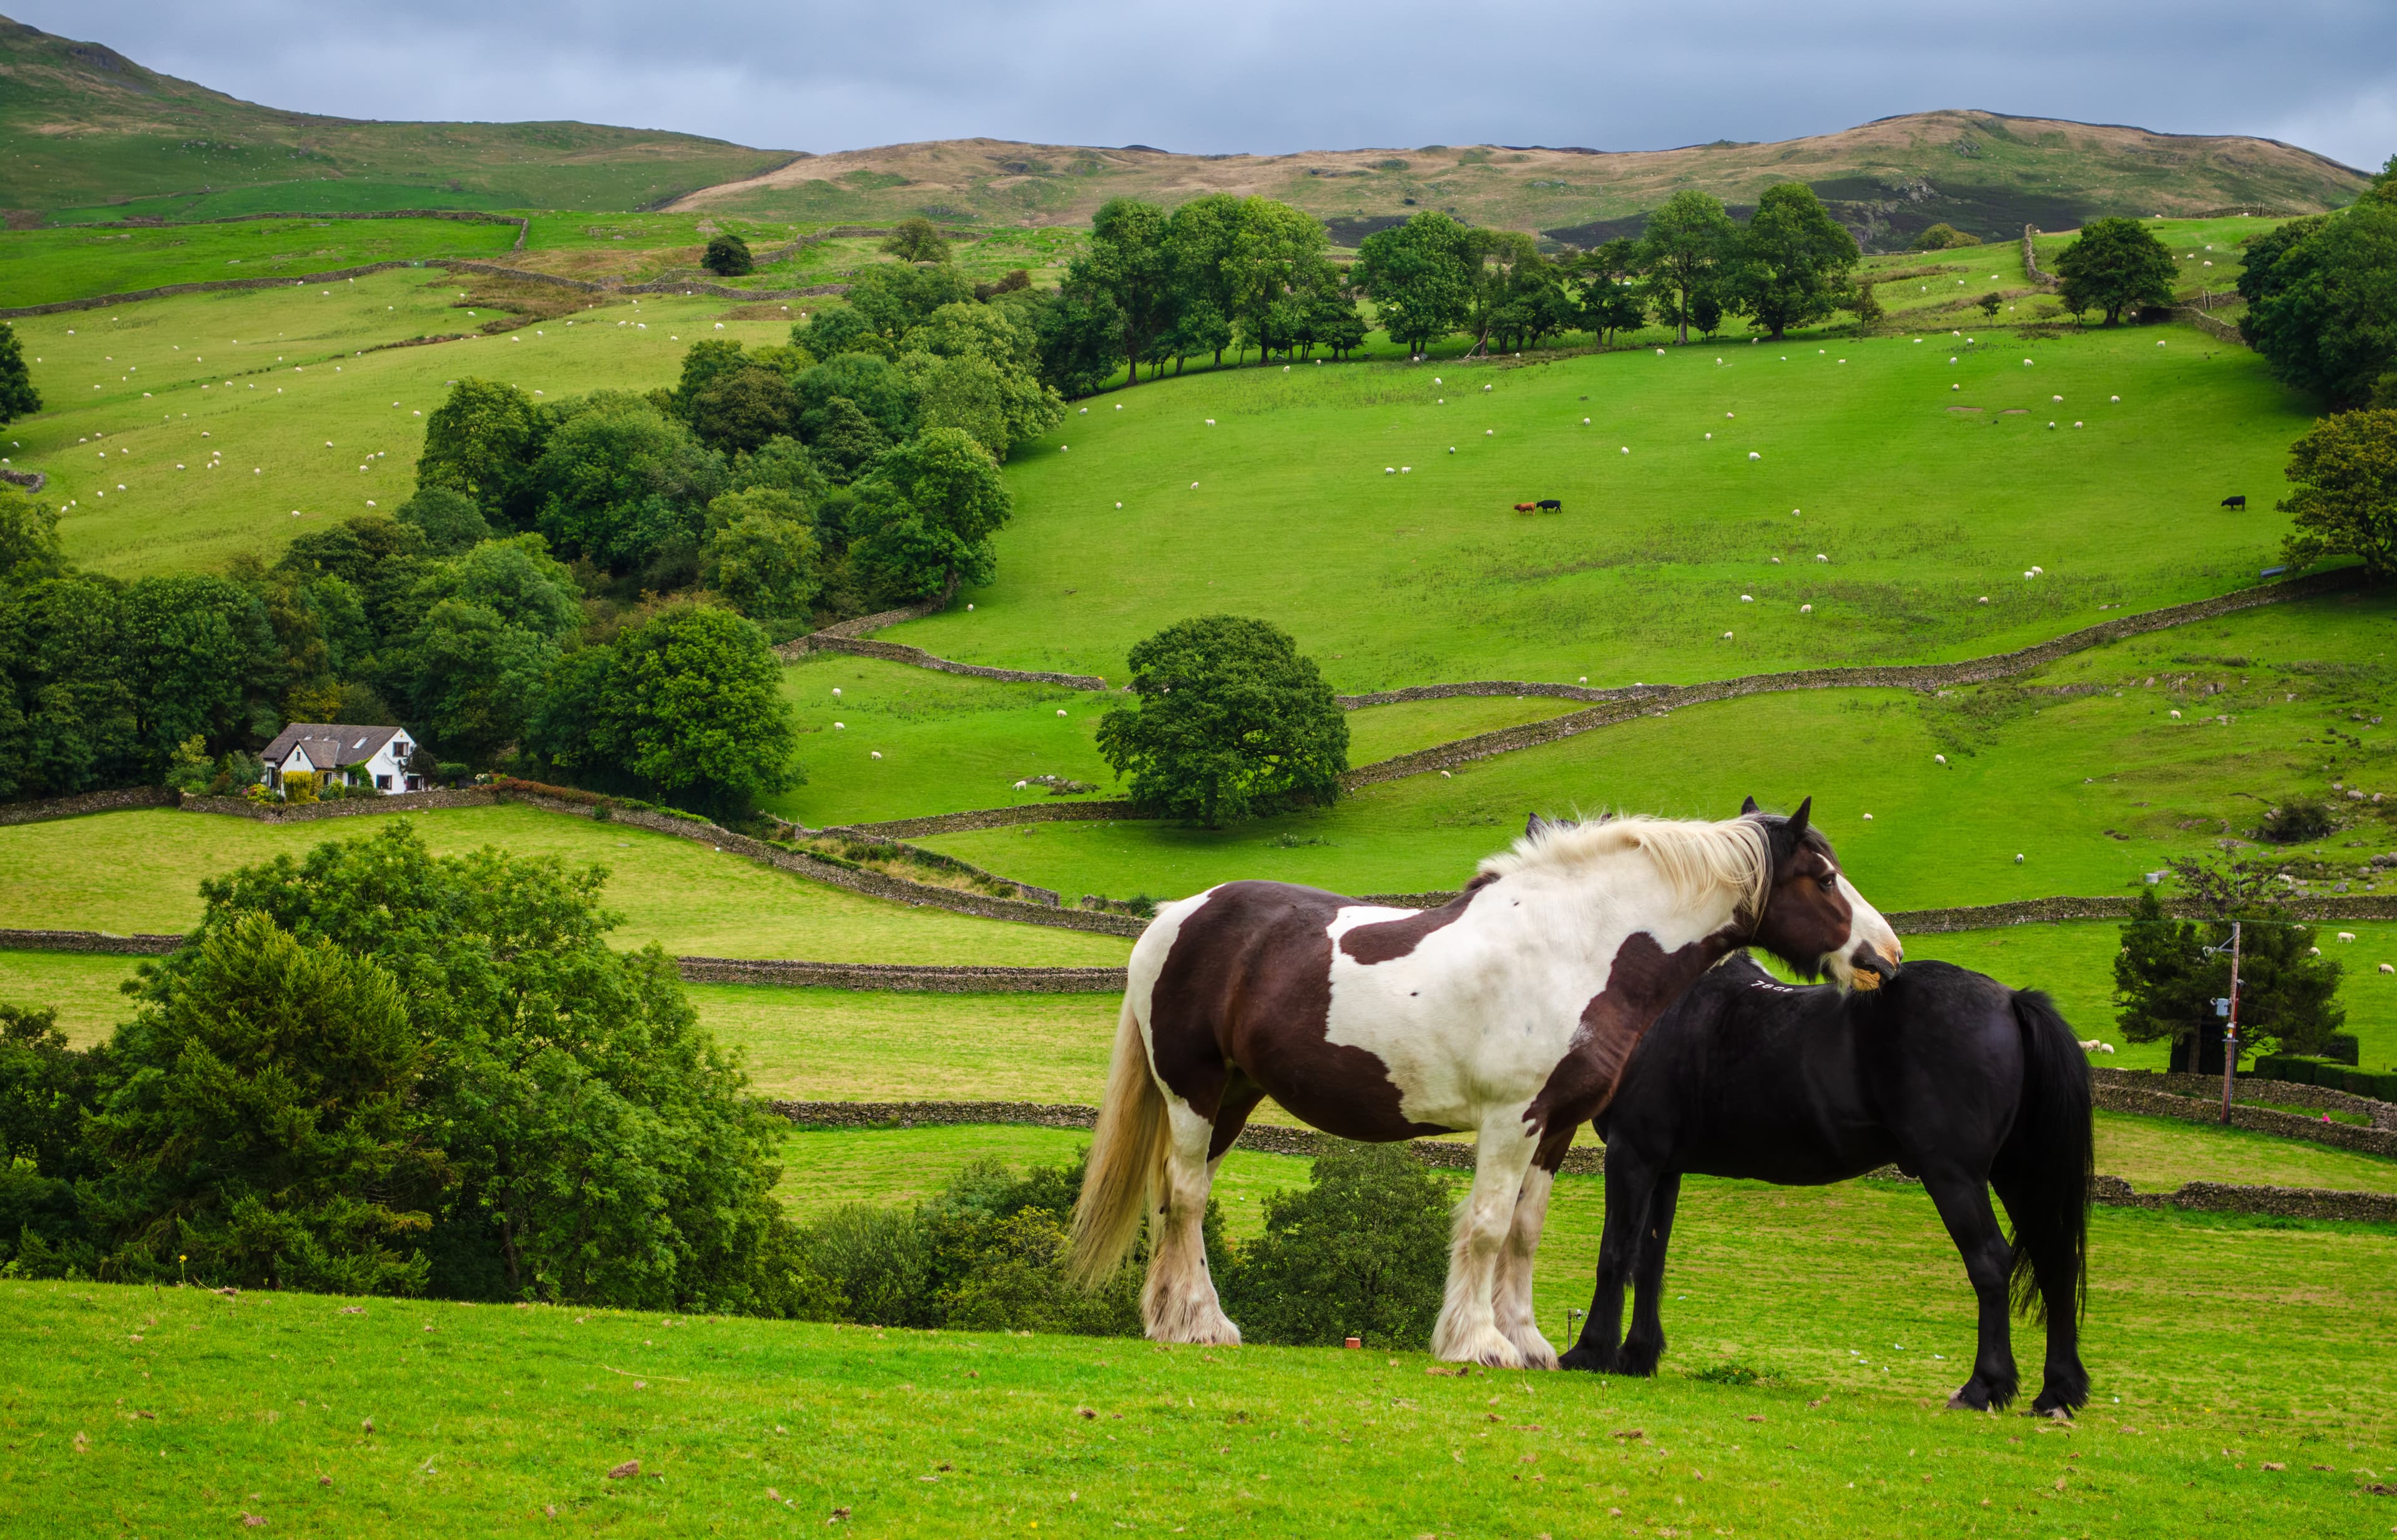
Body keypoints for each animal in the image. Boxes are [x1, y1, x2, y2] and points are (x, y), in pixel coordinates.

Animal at [1071, 798, 1904, 1368]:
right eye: (1823, 878)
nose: (1885, 958)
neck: (1579, 946)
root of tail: (1176, 915)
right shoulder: (1513, 1120)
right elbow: (1487, 1225)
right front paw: (1477, 1342)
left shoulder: (1557, 1127)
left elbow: (1526, 1234)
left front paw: (1528, 1341)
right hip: (1194, 1089)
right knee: (1187, 1199)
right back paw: (1202, 1324)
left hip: (1235, 1097)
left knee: (1177, 1198)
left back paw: (1172, 1320)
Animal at [1558, 954, 2093, 1415]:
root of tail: (2010, 999)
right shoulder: (1663, 1167)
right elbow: (1649, 1260)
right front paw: (1637, 1356)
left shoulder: (1631, 1153)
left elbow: (1615, 1252)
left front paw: (1589, 1351)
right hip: (2016, 1174)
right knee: (2055, 1263)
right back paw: (2057, 1392)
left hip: (1954, 1176)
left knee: (1990, 1262)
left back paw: (1984, 1386)